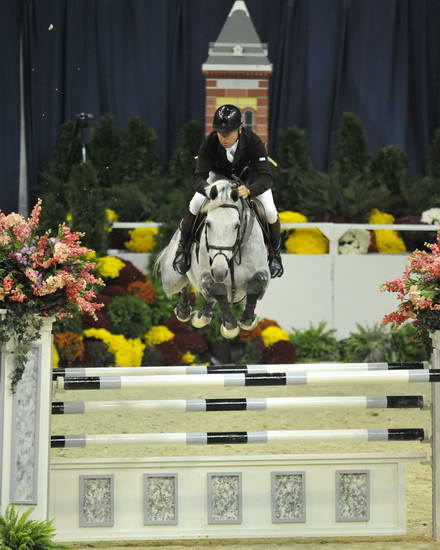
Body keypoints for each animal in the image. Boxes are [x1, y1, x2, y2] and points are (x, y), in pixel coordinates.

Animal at [155, 179, 272, 338]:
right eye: (208, 224)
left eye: (236, 225)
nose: (219, 272)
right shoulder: (205, 275)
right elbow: (217, 289)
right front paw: (230, 326)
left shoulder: (262, 272)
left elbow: (256, 285)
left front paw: (247, 320)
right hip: (170, 280)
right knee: (183, 284)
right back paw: (185, 310)